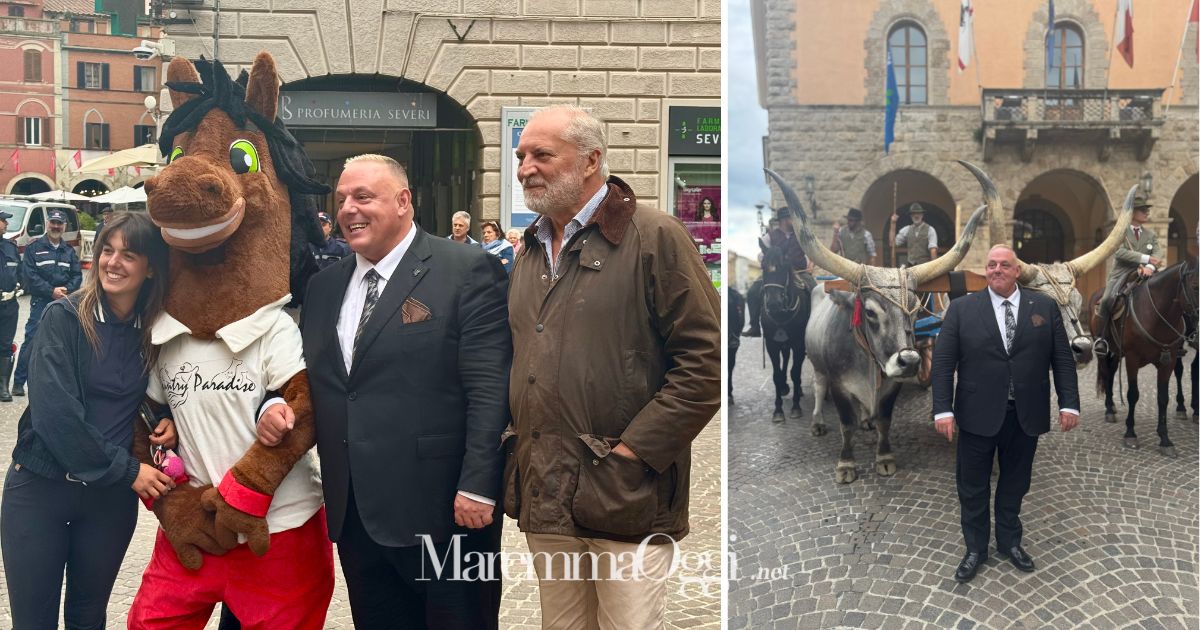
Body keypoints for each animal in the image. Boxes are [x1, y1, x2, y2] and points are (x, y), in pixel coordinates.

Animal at [1094, 255, 1195, 456]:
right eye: (1196, 286)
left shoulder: (1168, 360)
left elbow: (1163, 398)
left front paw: (1165, 439)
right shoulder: (1132, 359)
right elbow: (1133, 394)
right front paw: (1130, 434)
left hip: (1117, 353)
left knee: (1111, 373)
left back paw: (1111, 407)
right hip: (1104, 350)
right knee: (1106, 372)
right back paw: (1109, 409)